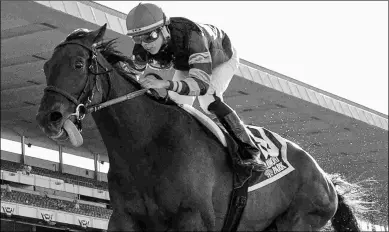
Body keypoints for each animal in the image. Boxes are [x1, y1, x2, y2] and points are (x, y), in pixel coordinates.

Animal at [34, 24, 366, 231]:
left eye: (78, 64)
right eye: (46, 66)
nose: (48, 118)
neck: (146, 146)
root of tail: (326, 178)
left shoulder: (193, 220)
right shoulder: (124, 219)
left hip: (300, 219)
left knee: (211, 98)